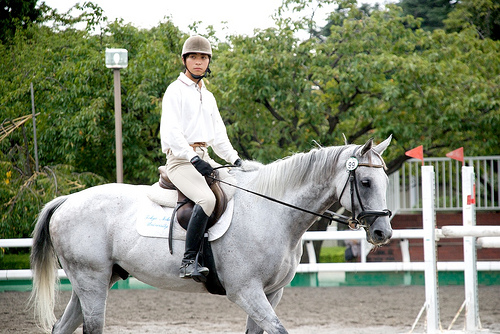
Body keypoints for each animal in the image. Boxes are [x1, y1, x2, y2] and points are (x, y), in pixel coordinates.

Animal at [29, 136, 394, 334]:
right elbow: (278, 328)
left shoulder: (272, 293)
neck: (270, 211)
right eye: (365, 182)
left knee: (63, 326)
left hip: (95, 281)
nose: (382, 232)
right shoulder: (245, 291)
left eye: (386, 181)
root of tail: (67, 200)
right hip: (91, 281)